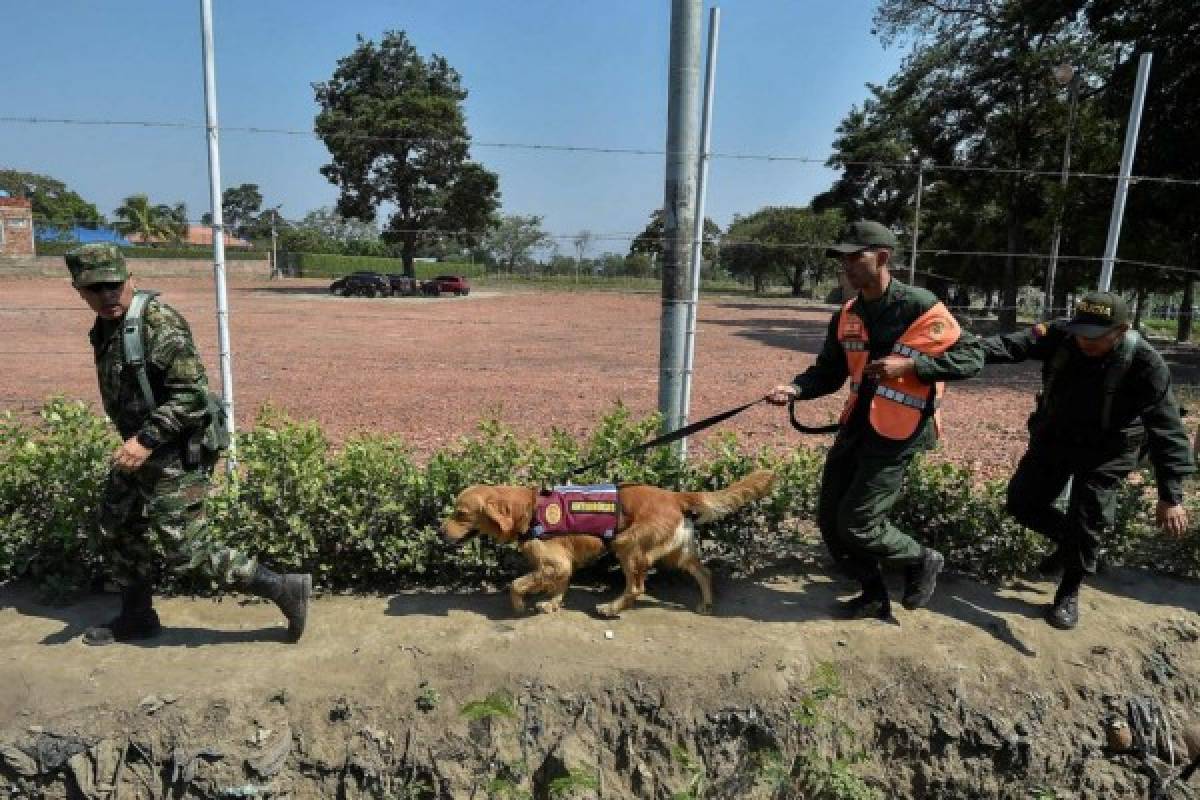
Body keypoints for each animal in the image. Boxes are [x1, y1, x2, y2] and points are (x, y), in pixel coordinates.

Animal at [446, 470, 772, 618]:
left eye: (460, 513)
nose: (440, 531)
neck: (526, 509)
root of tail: (674, 496)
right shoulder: (562, 565)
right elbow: (558, 585)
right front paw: (552, 603)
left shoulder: (555, 562)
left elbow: (516, 584)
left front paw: (518, 605)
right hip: (678, 552)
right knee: (704, 572)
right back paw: (705, 603)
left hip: (626, 544)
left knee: (637, 588)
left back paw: (611, 607)